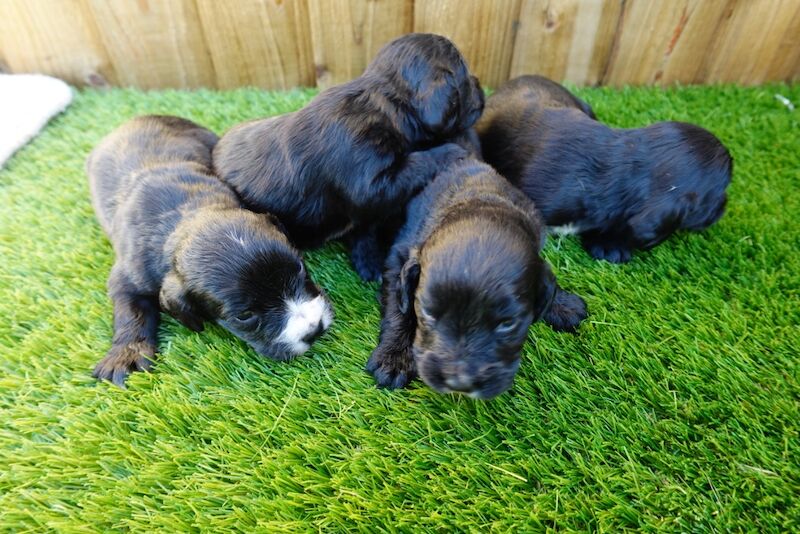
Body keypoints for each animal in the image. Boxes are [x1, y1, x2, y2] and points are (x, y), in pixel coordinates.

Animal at [89, 115, 332, 388]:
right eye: (244, 315)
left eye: (301, 269)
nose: (314, 329)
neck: (188, 215)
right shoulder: (129, 275)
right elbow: (131, 310)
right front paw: (126, 355)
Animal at [212, 31, 484, 282]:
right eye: (465, 77)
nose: (480, 84)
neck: (385, 105)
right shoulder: (370, 179)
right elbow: (413, 166)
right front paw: (451, 150)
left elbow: (366, 230)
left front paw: (369, 262)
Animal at [368, 157, 588, 400]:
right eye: (428, 313)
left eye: (508, 324)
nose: (459, 382)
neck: (479, 201)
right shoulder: (401, 254)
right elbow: (398, 307)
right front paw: (393, 358)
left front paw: (563, 304)